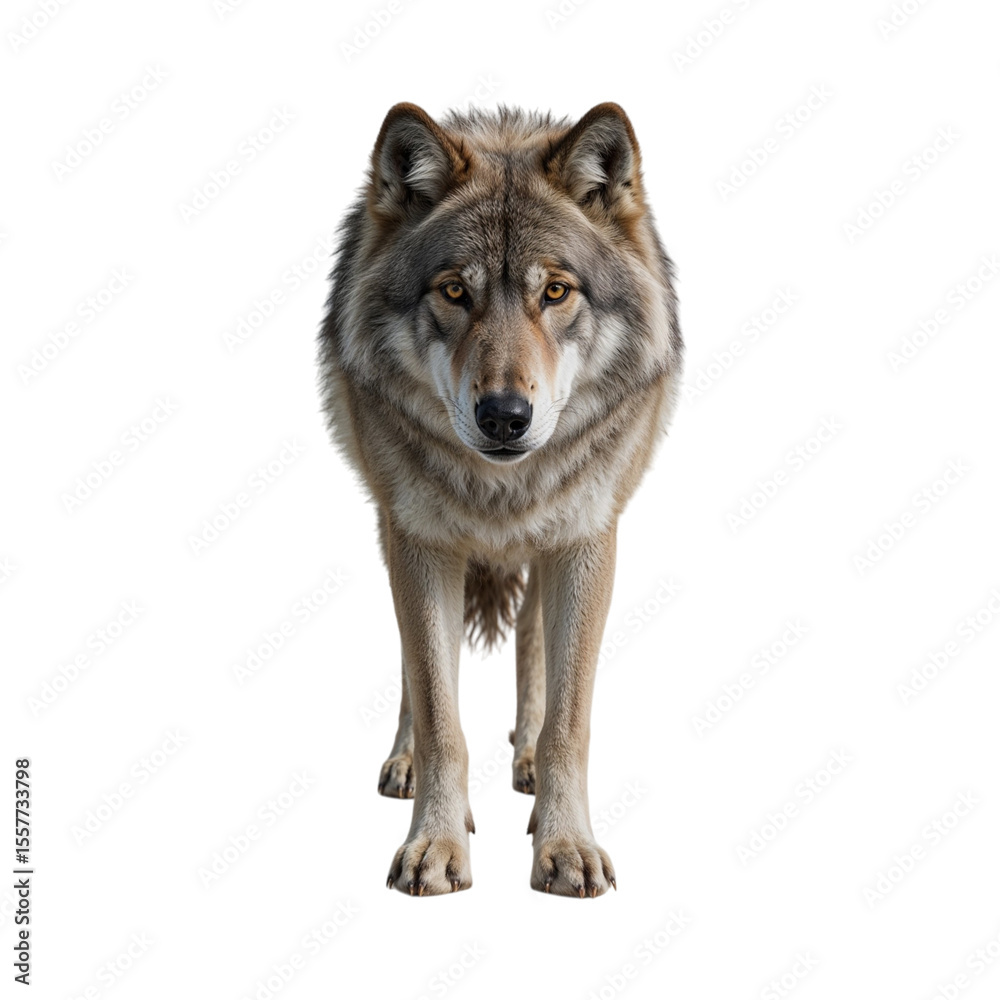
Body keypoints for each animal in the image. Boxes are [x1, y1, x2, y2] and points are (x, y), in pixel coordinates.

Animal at [318, 101, 682, 897]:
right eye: (455, 291)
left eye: (556, 292)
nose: (505, 417)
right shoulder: (419, 539)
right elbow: (438, 709)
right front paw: (434, 844)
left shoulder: (585, 538)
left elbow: (569, 721)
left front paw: (566, 845)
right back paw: (405, 763)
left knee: (533, 649)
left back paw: (526, 766)